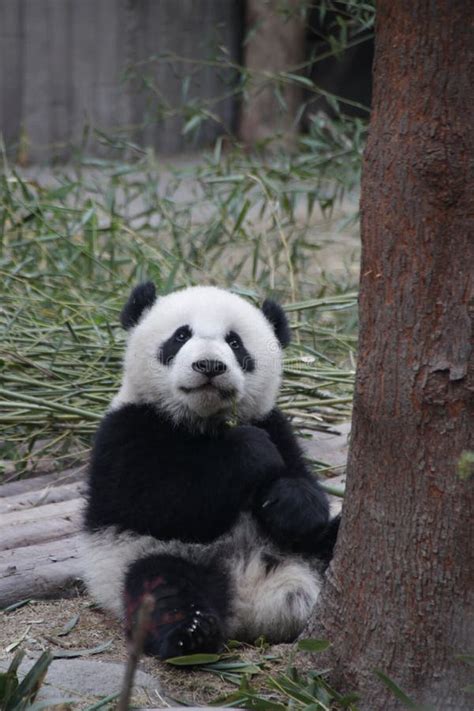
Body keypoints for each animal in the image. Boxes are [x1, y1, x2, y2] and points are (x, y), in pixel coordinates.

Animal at [82, 284, 340, 660]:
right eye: (180, 336)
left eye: (235, 342)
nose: (209, 365)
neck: (204, 422)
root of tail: (253, 595)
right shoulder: (126, 429)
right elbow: (155, 501)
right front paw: (248, 449)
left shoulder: (273, 422)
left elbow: (302, 480)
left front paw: (291, 505)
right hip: (145, 557)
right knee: (161, 587)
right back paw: (191, 634)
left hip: (307, 550)